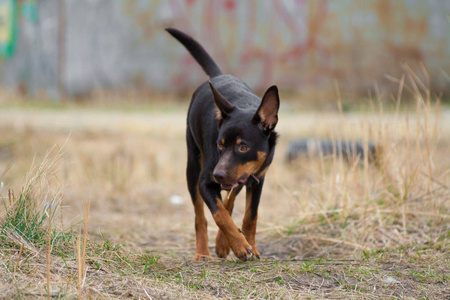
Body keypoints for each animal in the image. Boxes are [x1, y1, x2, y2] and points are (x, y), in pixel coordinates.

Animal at [167, 28, 280, 262]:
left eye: (243, 147)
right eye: (219, 145)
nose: (217, 175)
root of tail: (219, 75)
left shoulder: (257, 179)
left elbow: (250, 216)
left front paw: (249, 245)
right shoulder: (205, 181)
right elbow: (219, 214)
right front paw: (239, 245)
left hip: (237, 176)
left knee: (230, 199)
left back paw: (221, 242)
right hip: (193, 167)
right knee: (200, 216)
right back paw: (203, 252)